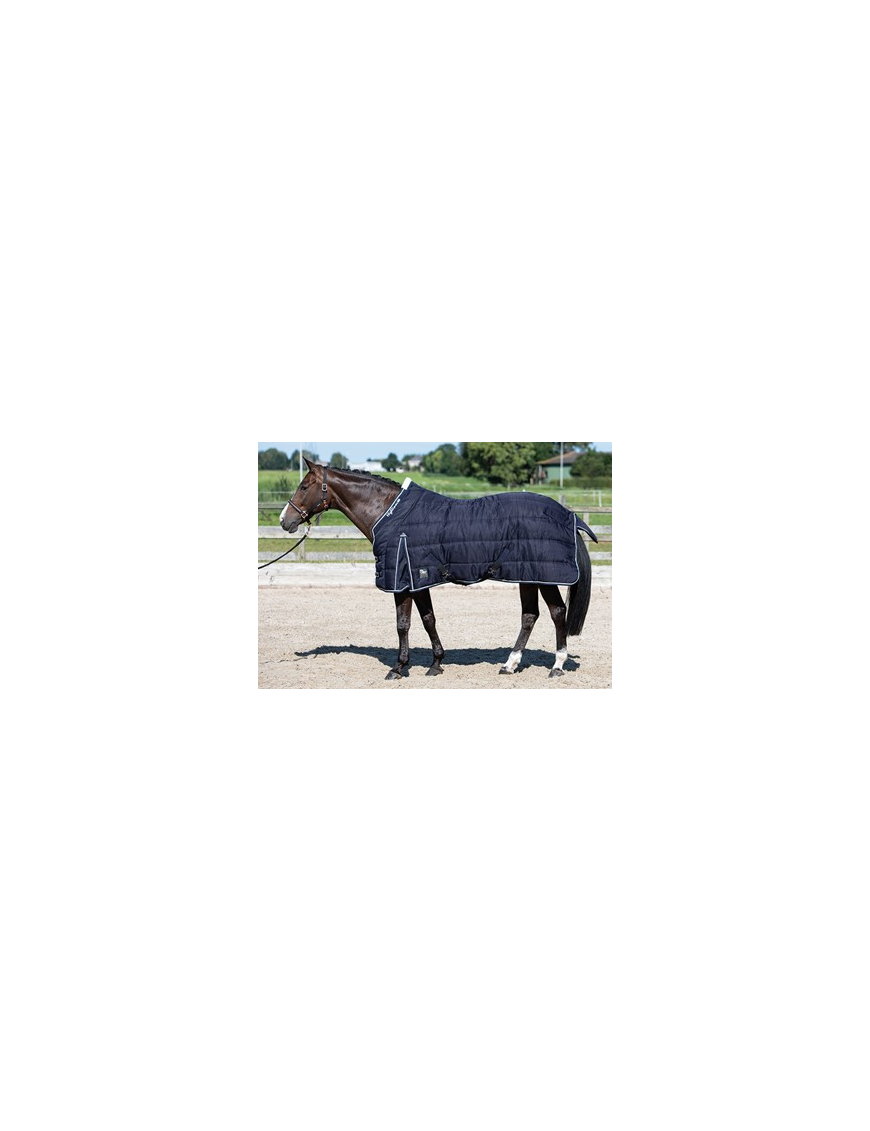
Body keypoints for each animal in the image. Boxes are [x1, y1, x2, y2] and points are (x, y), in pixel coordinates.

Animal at [278, 458, 598, 680]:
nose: (285, 520)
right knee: (530, 616)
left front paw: (398, 668)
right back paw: (510, 665)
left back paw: (556, 665)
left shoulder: (402, 580)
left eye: (304, 486)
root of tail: (568, 515)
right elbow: (428, 619)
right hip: (527, 575)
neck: (388, 513)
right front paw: (435, 664)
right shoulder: (418, 579)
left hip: (544, 576)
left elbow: (403, 624)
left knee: (557, 613)